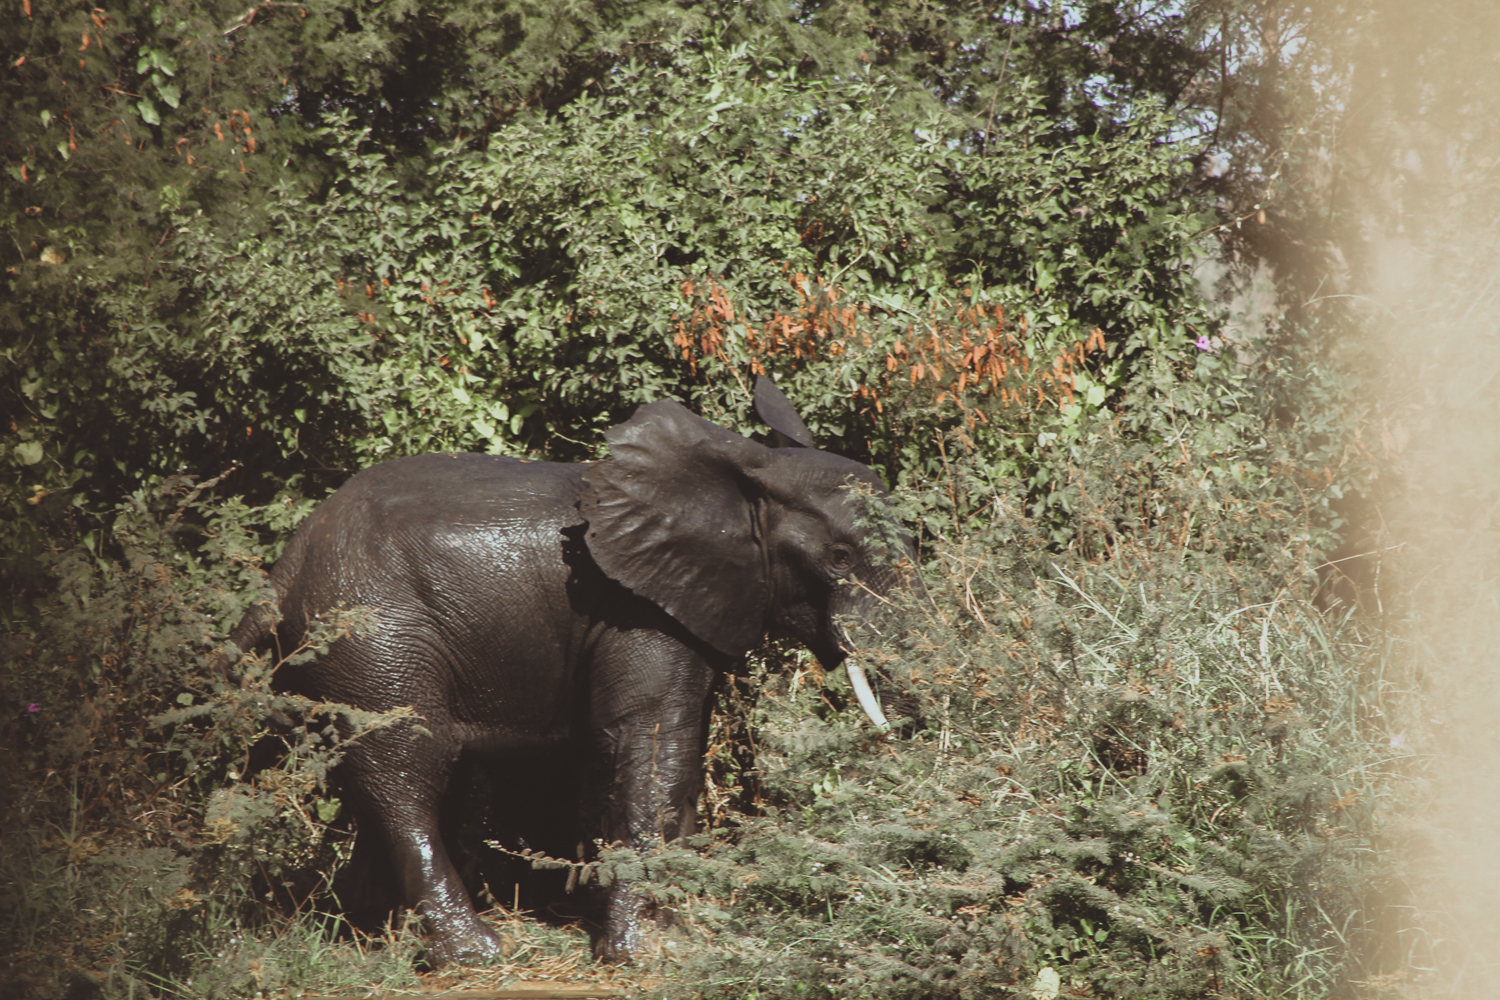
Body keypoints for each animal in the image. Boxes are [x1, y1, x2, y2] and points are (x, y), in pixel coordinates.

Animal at [225, 379, 912, 965]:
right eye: (841, 556)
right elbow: (652, 742)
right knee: (408, 771)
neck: (747, 472)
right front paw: (643, 954)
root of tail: (283, 570)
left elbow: (679, 746)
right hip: (372, 634)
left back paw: (377, 938)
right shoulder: (632, 606)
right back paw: (474, 954)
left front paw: (680, 933)